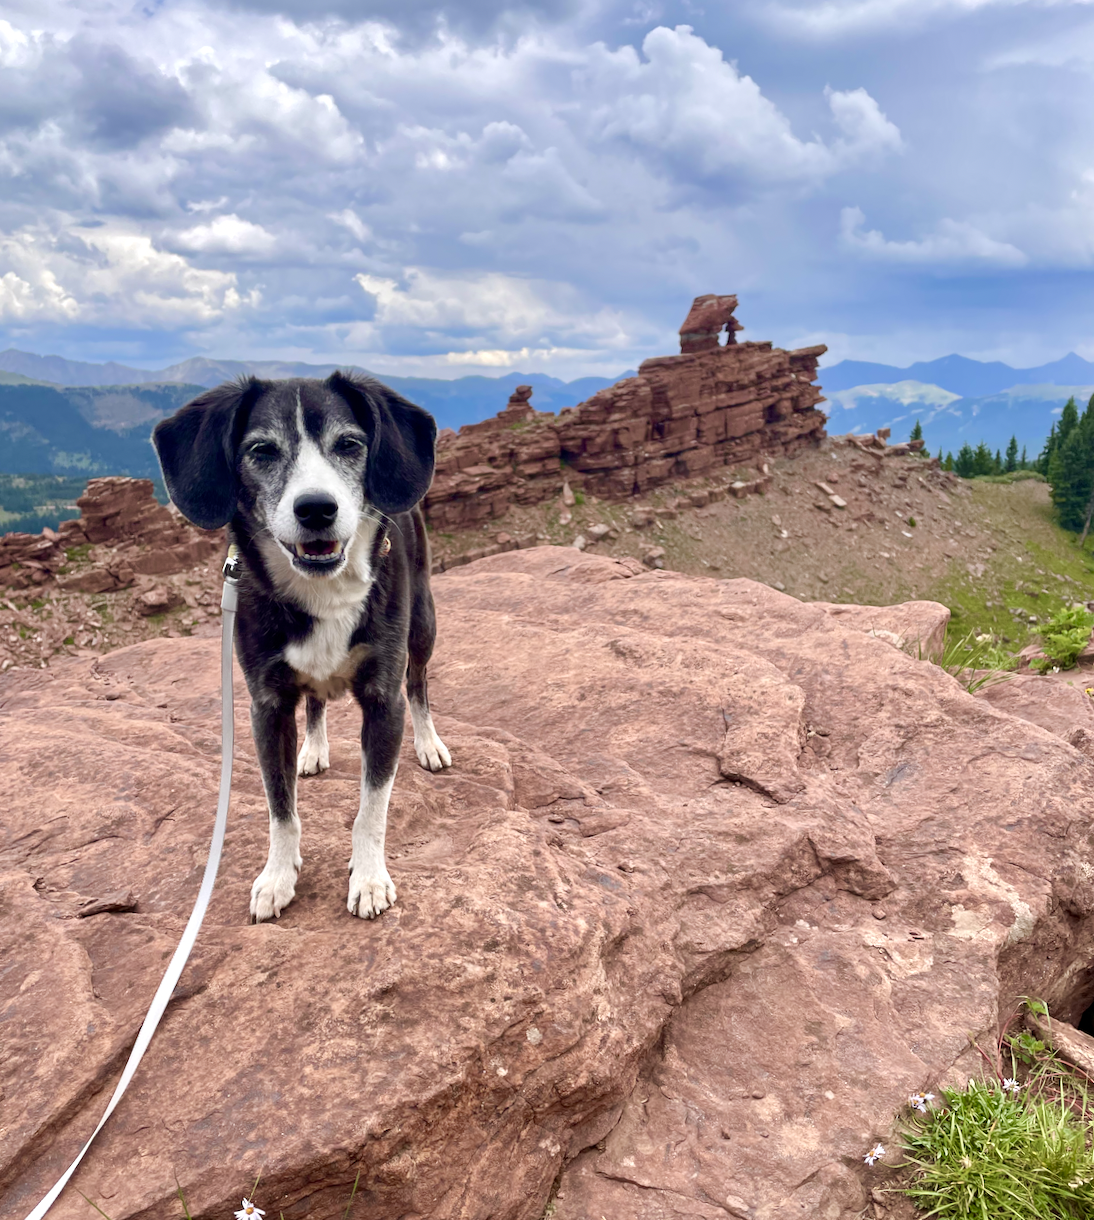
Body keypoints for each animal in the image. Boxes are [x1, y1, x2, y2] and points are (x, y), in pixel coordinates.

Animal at [153, 372, 451, 922]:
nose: (316, 508)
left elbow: (372, 807)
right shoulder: (266, 706)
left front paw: (369, 877)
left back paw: (428, 743)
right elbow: (280, 805)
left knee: (419, 682)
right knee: (315, 700)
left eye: (350, 444)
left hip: (423, 620)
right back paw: (312, 748)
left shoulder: (383, 699)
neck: (324, 590)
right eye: (262, 450)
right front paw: (277, 876)